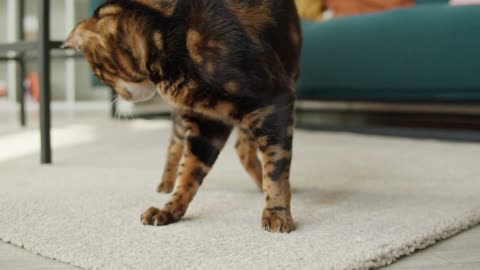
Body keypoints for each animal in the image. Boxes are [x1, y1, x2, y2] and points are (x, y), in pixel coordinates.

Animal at [63, 0, 300, 232]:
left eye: (99, 73)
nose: (121, 96)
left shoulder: (273, 102)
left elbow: (276, 168)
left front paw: (277, 212)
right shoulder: (207, 122)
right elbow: (188, 173)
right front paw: (168, 210)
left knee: (244, 148)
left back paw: (262, 184)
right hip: (184, 119)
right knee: (176, 147)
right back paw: (166, 183)